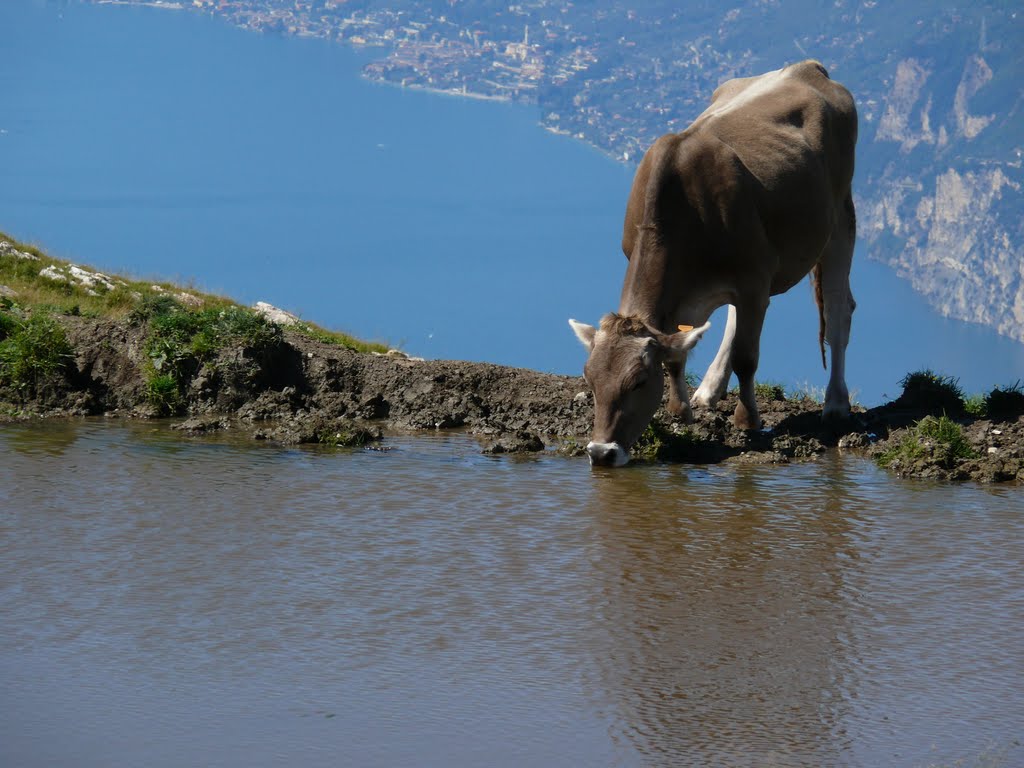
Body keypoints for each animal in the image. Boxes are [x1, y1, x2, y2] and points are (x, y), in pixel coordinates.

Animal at [569, 60, 856, 466]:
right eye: (590, 379)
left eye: (638, 382)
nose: (601, 453)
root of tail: (805, 68)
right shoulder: (685, 296)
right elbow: (677, 355)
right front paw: (682, 411)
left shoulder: (754, 281)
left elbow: (747, 357)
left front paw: (747, 420)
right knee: (737, 319)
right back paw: (708, 390)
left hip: (840, 219)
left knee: (837, 311)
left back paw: (836, 404)